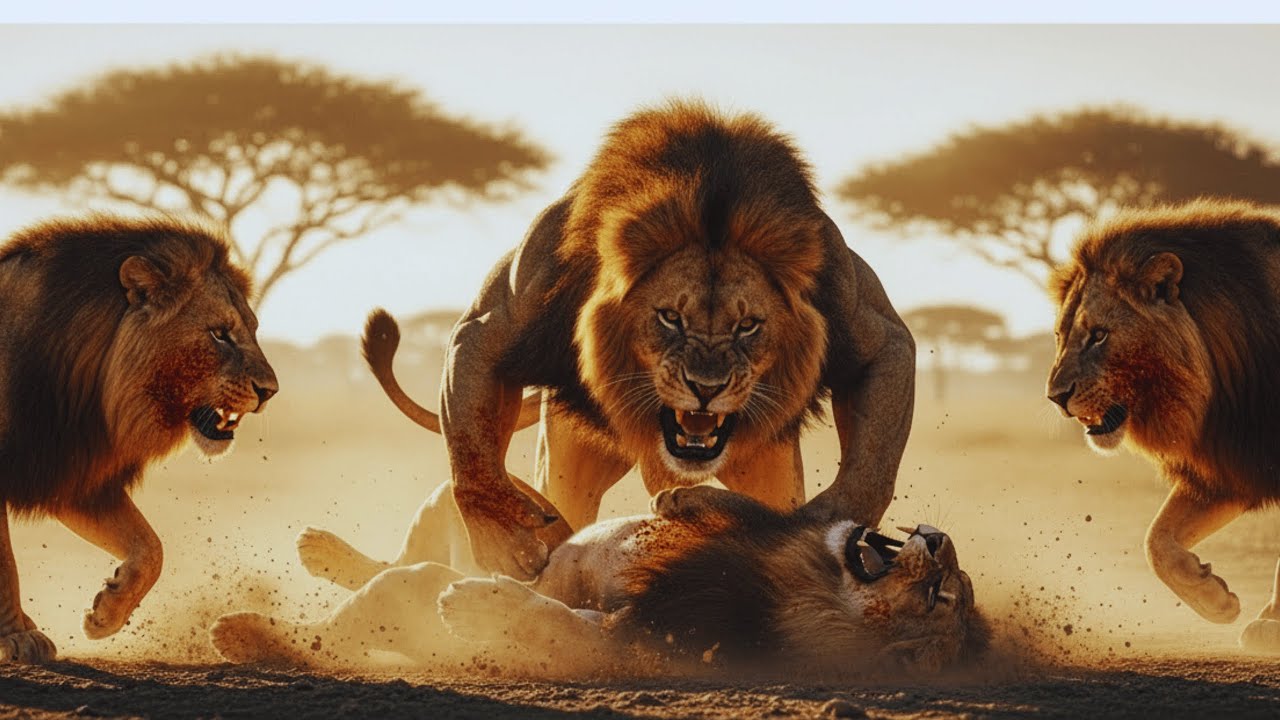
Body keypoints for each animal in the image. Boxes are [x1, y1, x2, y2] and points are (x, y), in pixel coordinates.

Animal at [0, 214, 278, 663]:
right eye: (219, 334)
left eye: (252, 330)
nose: (270, 390)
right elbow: (5, 564)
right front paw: (18, 638)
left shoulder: (74, 473)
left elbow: (152, 548)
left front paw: (106, 613)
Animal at [338, 99, 915, 583]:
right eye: (669, 318)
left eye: (749, 325)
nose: (706, 388)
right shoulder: (503, 313)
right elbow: (473, 455)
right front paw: (504, 539)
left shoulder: (851, 301)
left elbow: (871, 456)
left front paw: (825, 524)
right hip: (568, 456)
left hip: (764, 459)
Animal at [1046, 199, 1280, 650]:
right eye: (1059, 336)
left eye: (1099, 335)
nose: (1056, 397)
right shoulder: (1227, 464)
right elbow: (1156, 541)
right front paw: (1213, 600)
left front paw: (1272, 625)